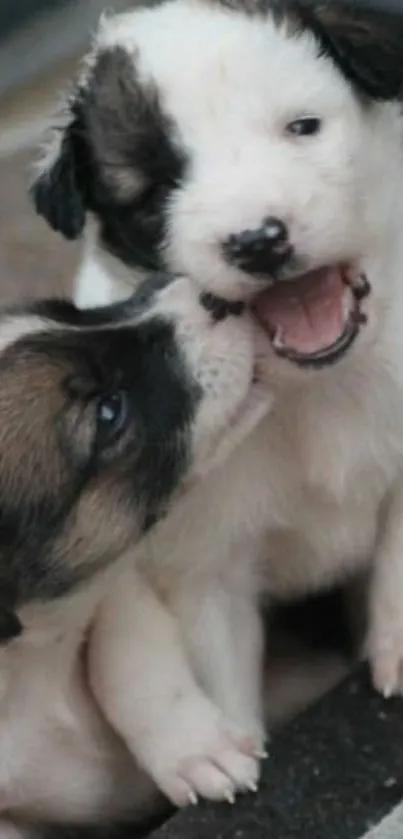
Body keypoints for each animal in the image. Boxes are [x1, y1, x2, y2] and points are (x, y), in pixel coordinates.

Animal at [0, 276, 268, 839]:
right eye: (109, 411)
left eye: (69, 311)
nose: (212, 295)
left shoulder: (120, 573)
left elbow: (127, 648)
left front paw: (193, 745)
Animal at [30, 0, 403, 812]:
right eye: (156, 189)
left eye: (302, 127)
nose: (258, 241)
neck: (310, 390)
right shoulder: (203, 571)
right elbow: (222, 682)